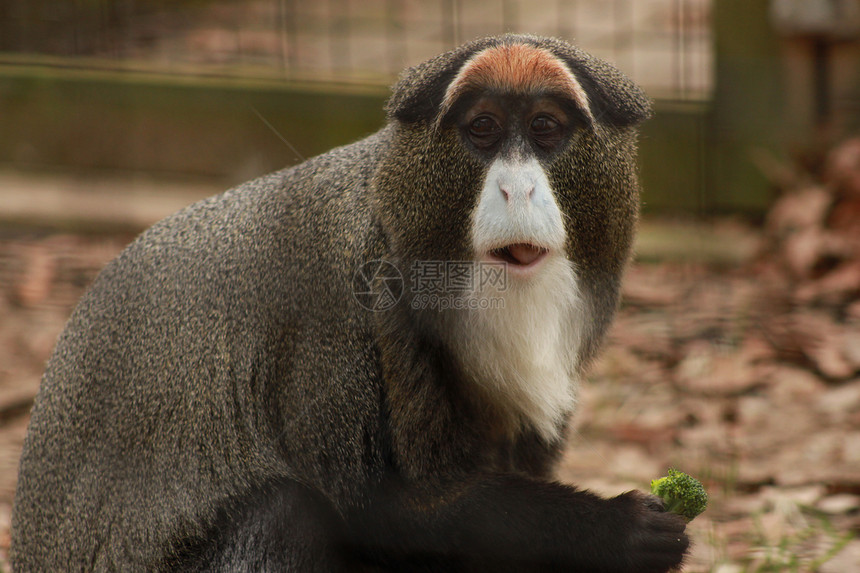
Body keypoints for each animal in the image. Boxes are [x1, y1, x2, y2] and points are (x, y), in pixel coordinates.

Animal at [10, 35, 688, 572]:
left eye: (546, 129)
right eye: (483, 129)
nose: (515, 189)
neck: (398, 222)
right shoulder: (335, 296)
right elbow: (379, 509)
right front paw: (616, 531)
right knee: (285, 513)